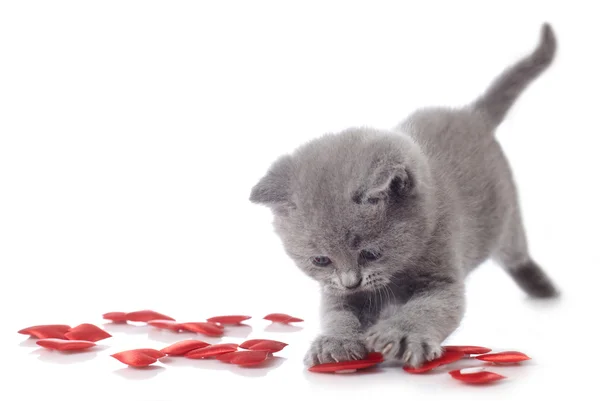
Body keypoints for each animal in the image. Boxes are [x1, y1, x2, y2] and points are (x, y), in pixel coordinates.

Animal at [247, 21, 556, 366]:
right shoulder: (337, 294)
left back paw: (543, 288)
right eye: (321, 260)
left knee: (516, 251)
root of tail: (473, 114)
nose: (351, 281)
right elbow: (337, 314)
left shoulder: (442, 279)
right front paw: (336, 342)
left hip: (505, 218)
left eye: (370, 253)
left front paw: (401, 335)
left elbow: (428, 309)